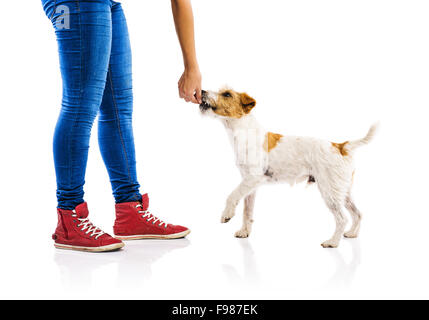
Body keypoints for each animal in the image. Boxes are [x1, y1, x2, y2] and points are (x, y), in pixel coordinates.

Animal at [199, 87, 376, 248]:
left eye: (227, 94)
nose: (201, 91)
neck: (244, 132)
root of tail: (340, 146)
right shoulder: (249, 185)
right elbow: (247, 211)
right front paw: (244, 232)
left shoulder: (252, 178)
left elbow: (232, 196)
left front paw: (227, 214)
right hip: (343, 192)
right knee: (358, 213)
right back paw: (352, 233)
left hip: (329, 192)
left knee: (342, 218)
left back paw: (332, 242)